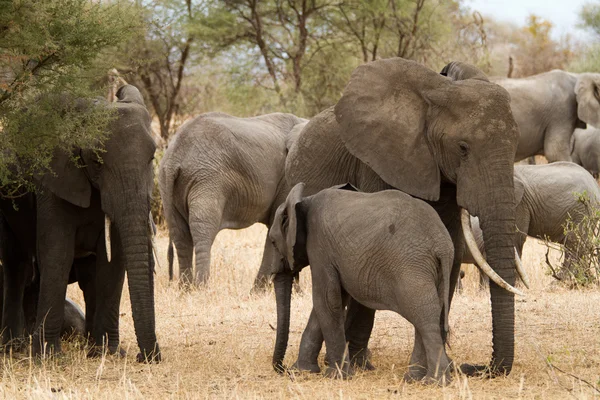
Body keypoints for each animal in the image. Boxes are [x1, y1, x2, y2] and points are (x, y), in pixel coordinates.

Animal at [32, 85, 159, 362]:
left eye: (153, 157)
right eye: (97, 161)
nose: (145, 357)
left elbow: (113, 261)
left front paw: (108, 353)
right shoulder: (53, 180)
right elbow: (57, 253)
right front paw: (48, 357)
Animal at [159, 112, 308, 288]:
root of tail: (174, 157)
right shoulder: (288, 179)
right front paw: (259, 291)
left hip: (166, 184)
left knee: (179, 234)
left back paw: (185, 289)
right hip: (207, 180)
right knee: (202, 230)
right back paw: (201, 288)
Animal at [268, 183, 454, 382]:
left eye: (272, 242)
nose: (283, 369)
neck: (303, 201)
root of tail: (442, 245)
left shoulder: (319, 246)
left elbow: (326, 300)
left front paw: (337, 376)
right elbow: (331, 302)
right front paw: (303, 371)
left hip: (411, 266)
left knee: (424, 315)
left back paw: (435, 381)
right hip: (434, 269)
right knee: (429, 313)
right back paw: (414, 378)